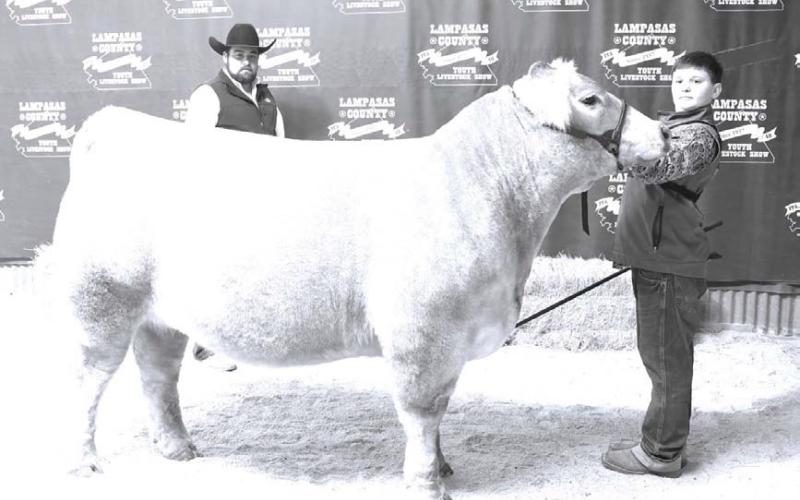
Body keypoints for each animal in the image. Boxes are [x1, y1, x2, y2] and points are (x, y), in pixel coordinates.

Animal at [48, 59, 669, 499]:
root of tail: (113, 125)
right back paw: (84, 461)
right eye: (590, 99)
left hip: (161, 313)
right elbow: (423, 410)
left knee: (157, 375)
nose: (664, 133)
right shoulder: (424, 335)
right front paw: (426, 483)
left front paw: (443, 465)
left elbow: (440, 410)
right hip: (101, 300)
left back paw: (177, 449)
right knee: (87, 383)